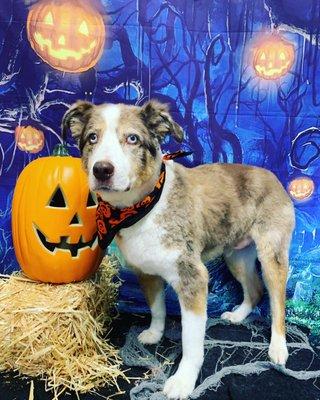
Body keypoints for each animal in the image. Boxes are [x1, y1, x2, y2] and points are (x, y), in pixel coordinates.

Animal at [62, 98, 296, 398]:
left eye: (133, 138)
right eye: (92, 137)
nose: (102, 169)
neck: (143, 208)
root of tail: (270, 175)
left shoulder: (192, 279)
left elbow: (191, 340)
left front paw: (184, 380)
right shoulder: (146, 272)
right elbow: (157, 308)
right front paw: (155, 333)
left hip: (271, 254)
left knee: (277, 302)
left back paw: (278, 348)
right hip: (236, 255)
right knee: (254, 290)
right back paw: (238, 315)